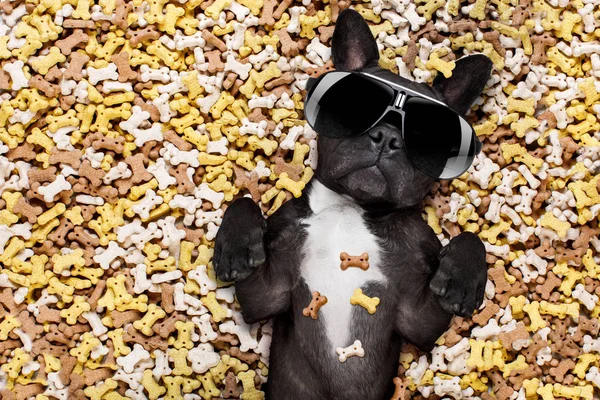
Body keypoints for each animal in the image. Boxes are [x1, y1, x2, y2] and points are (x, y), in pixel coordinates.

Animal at [213, 9, 490, 400]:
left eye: (424, 137)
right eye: (352, 108)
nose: (387, 138)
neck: (350, 207)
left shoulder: (418, 319)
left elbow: (469, 237)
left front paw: (462, 278)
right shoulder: (266, 294)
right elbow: (244, 200)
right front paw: (235, 246)